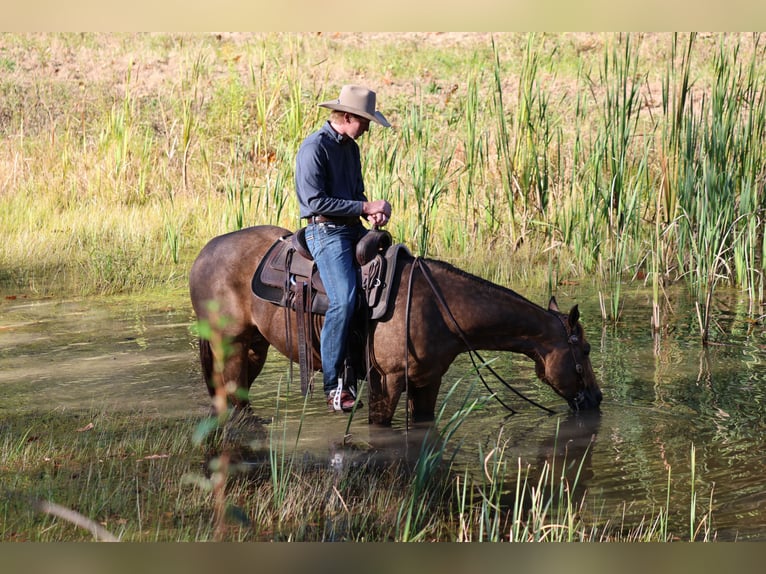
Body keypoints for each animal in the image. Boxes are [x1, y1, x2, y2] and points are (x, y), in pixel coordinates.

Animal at [189, 225, 602, 426]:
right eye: (584, 349)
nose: (597, 399)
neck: (436, 305)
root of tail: (204, 252)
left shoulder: (427, 382)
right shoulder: (385, 382)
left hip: (254, 348)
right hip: (230, 347)